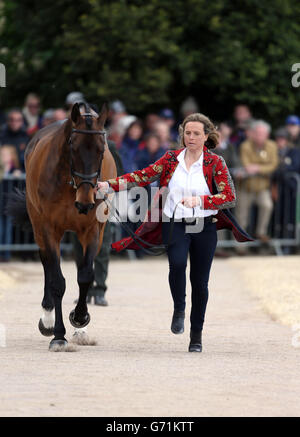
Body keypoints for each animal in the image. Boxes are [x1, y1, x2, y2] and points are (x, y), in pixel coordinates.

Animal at [11, 100, 116, 350]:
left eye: (101, 150)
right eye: (73, 148)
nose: (86, 202)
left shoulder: (92, 231)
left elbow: (85, 275)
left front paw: (80, 318)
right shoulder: (49, 229)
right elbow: (57, 281)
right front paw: (58, 334)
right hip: (39, 228)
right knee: (47, 265)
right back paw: (48, 319)